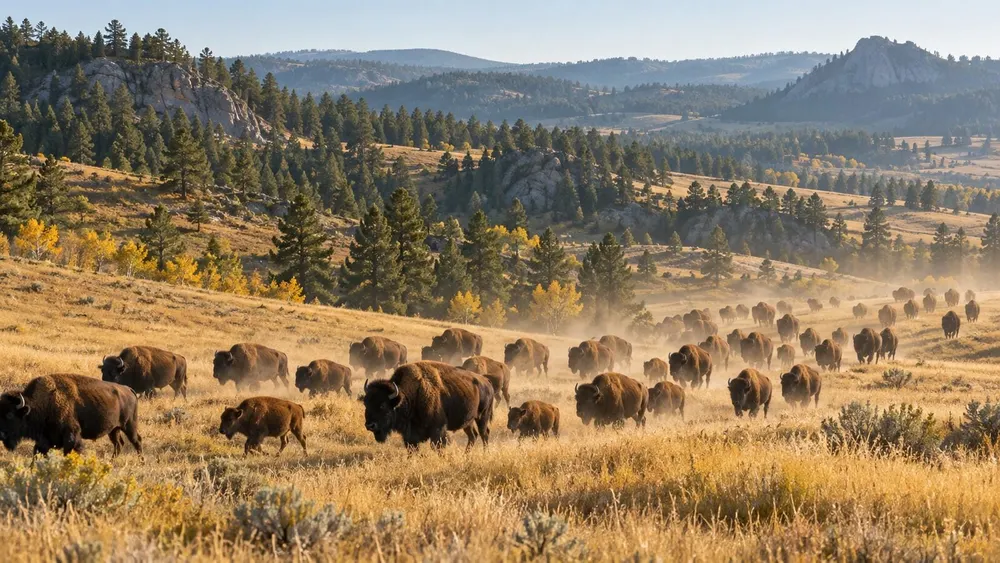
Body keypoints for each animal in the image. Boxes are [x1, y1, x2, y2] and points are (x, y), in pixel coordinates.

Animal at [0, 374, 141, 456]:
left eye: (10, 415)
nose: (1, 434)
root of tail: (129, 389)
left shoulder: (71, 437)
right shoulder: (44, 441)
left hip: (129, 426)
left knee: (137, 441)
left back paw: (141, 462)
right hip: (113, 430)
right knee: (118, 444)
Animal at [361, 361, 493, 450]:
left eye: (383, 405)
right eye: (366, 404)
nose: (370, 425)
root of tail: (487, 382)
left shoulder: (438, 430)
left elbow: (438, 446)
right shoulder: (410, 436)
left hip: (482, 416)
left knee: (484, 434)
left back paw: (484, 453)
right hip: (468, 421)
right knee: (473, 435)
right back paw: (466, 454)